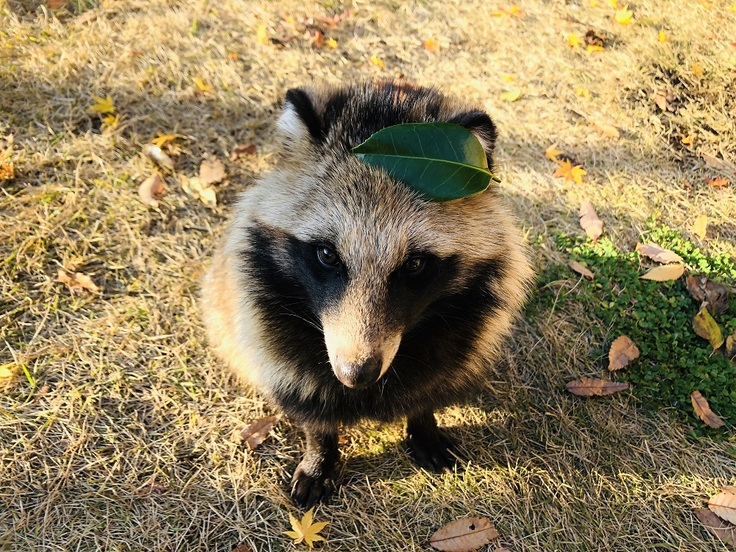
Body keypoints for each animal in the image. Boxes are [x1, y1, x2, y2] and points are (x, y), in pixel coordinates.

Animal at [201, 80, 532, 506]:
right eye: (327, 254)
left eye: (414, 264)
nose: (355, 374)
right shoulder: (267, 317)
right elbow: (306, 396)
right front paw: (320, 452)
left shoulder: (461, 325)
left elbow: (431, 384)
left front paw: (424, 424)